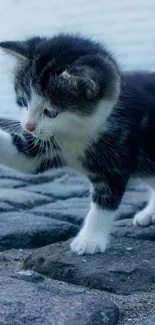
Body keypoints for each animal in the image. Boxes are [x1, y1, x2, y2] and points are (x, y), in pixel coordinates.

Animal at [0, 33, 155, 256]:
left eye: (51, 112)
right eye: (23, 101)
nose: (28, 126)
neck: (77, 133)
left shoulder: (118, 155)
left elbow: (105, 201)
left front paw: (89, 240)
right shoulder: (47, 145)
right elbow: (22, 157)